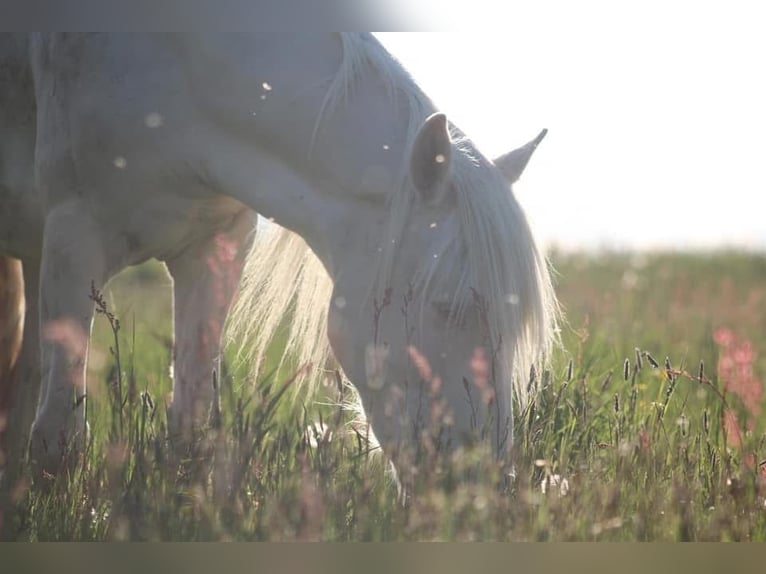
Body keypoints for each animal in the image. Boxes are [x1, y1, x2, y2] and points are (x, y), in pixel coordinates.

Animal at [3, 32, 560, 482]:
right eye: (447, 305)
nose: (479, 486)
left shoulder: (212, 252)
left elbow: (190, 432)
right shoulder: (74, 241)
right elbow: (59, 445)